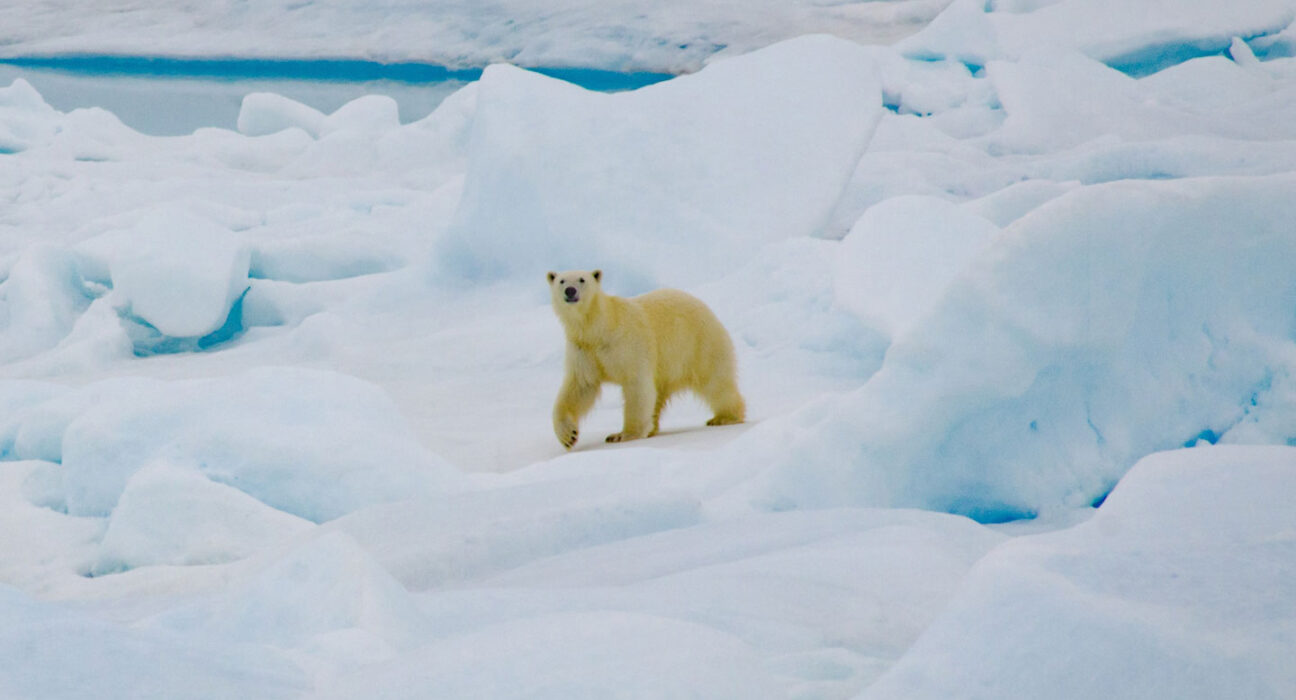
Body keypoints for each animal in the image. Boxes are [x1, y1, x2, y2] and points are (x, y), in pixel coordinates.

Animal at [549, 268, 751, 448]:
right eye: (561, 281)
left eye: (582, 279)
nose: (570, 290)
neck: (600, 327)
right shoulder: (584, 349)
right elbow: (581, 387)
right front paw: (568, 435)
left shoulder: (627, 343)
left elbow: (636, 385)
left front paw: (623, 435)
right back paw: (653, 428)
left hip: (698, 345)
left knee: (715, 382)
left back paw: (725, 417)